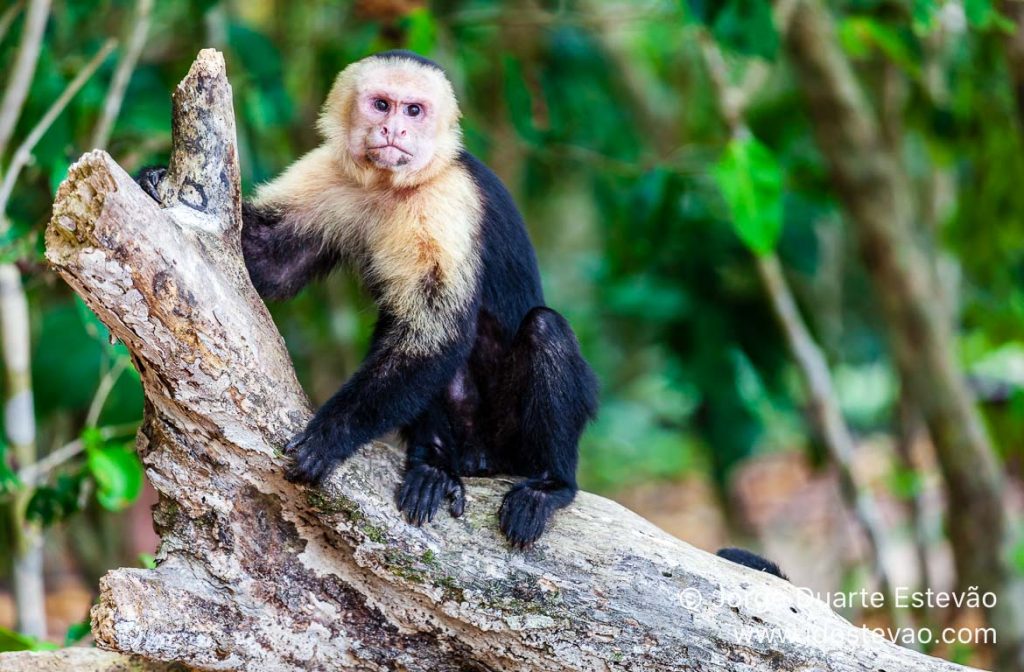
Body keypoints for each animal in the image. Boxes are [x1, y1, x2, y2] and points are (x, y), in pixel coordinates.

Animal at [138, 51, 598, 544]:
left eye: (413, 111)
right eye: (381, 105)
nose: (393, 129)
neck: (391, 185)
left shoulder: (446, 200)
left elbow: (436, 336)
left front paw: (330, 436)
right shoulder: (329, 172)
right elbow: (273, 265)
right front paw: (154, 181)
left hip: (510, 442)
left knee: (543, 329)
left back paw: (550, 484)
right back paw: (434, 465)